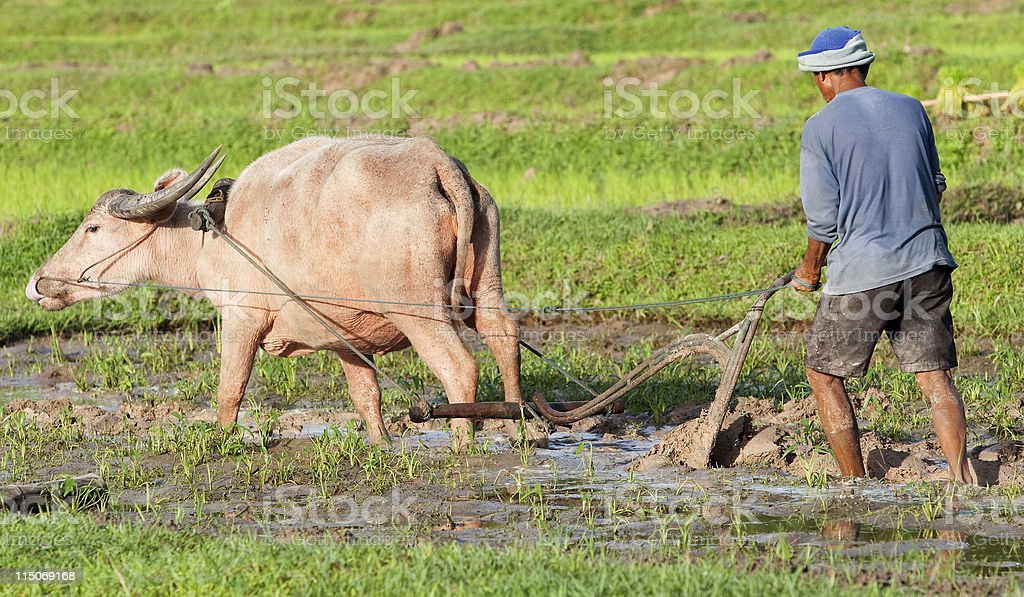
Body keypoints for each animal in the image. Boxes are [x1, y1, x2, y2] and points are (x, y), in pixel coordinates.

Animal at [28, 139, 524, 448]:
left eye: (93, 228)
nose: (38, 283)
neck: (212, 235)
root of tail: (436, 163)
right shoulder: (344, 335)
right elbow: (365, 394)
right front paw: (381, 443)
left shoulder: (241, 318)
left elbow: (230, 389)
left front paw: (220, 441)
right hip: (486, 287)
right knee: (504, 336)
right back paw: (520, 426)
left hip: (419, 311)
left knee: (459, 365)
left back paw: (462, 441)